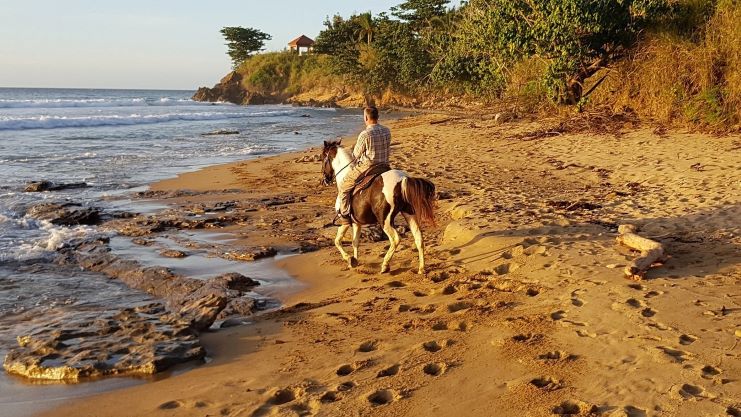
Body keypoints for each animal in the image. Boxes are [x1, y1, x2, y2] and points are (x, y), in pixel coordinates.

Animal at [318, 140, 434, 274]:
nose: (325, 180)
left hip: (385, 220)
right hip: (409, 213)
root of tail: (403, 180)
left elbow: (337, 240)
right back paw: (421, 268)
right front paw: (354, 261)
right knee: (419, 238)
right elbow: (355, 242)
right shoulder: (356, 222)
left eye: (322, 157)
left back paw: (385, 266)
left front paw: (349, 259)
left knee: (395, 239)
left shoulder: (345, 220)